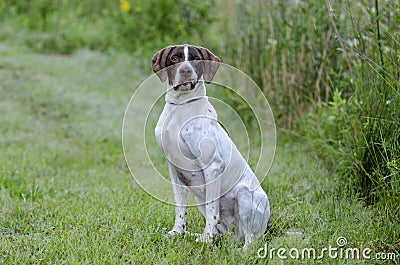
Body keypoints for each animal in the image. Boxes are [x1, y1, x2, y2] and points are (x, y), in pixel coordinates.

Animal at [152, 43, 270, 248]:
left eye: (195, 59)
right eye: (174, 58)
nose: (185, 71)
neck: (180, 106)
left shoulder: (213, 166)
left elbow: (212, 210)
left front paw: (207, 238)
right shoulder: (173, 168)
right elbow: (180, 206)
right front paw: (178, 232)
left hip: (244, 194)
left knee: (251, 241)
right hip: (201, 202)